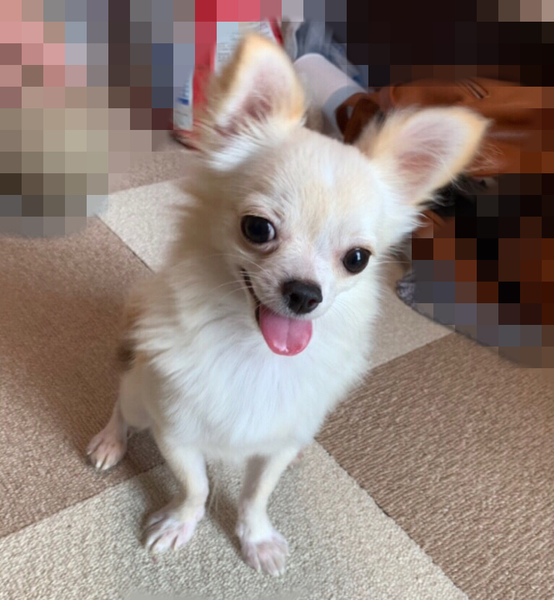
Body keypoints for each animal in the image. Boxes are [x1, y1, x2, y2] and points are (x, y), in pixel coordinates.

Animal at [87, 34, 488, 576]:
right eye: (257, 229)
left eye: (357, 259)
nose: (304, 293)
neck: (255, 352)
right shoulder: (176, 432)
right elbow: (197, 486)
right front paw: (179, 523)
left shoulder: (276, 443)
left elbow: (256, 494)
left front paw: (256, 540)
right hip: (139, 392)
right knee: (123, 404)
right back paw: (110, 440)